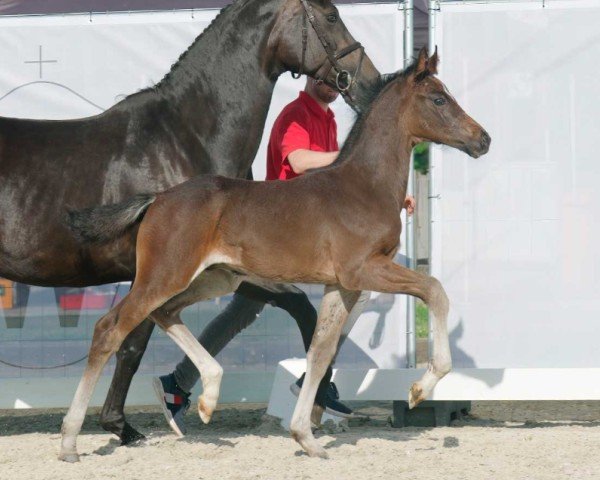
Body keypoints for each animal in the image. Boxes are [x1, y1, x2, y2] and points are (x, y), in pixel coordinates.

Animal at [0, 0, 378, 442]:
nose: (371, 82)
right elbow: (132, 345)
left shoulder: (222, 264)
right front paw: (121, 426)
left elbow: (299, 305)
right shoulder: (158, 272)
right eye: (332, 16)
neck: (185, 137)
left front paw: (321, 395)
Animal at [63, 48, 490, 462]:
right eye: (439, 99)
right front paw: (421, 388)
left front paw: (306, 437)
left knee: (165, 312)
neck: (363, 187)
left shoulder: (342, 286)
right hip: (165, 274)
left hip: (215, 278)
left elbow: (320, 352)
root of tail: (158, 198)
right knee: (110, 329)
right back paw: (70, 442)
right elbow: (434, 290)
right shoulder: (363, 270)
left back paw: (208, 396)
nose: (483, 139)